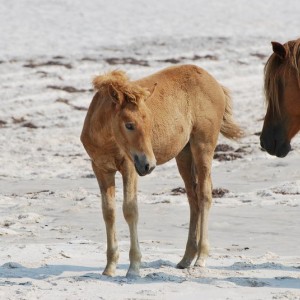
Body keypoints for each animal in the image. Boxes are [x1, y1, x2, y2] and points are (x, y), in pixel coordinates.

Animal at [81, 64, 243, 278]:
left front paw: (134, 267)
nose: (149, 164)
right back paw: (186, 258)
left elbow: (130, 210)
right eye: (129, 125)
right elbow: (108, 212)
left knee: (205, 194)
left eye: (150, 122)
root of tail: (213, 81)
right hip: (183, 154)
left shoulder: (130, 167)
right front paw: (109, 267)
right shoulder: (101, 169)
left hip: (203, 145)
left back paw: (201, 258)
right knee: (193, 198)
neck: (106, 139)